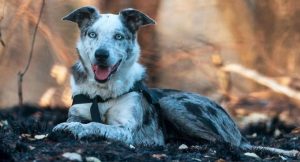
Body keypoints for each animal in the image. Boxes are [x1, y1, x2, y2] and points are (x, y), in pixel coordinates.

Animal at [52, 5, 300, 158]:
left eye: (118, 36)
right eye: (92, 34)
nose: (101, 55)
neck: (102, 93)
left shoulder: (127, 130)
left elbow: (96, 125)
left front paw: (75, 128)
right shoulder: (79, 110)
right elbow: (80, 120)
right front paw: (69, 125)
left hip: (171, 104)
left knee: (227, 143)